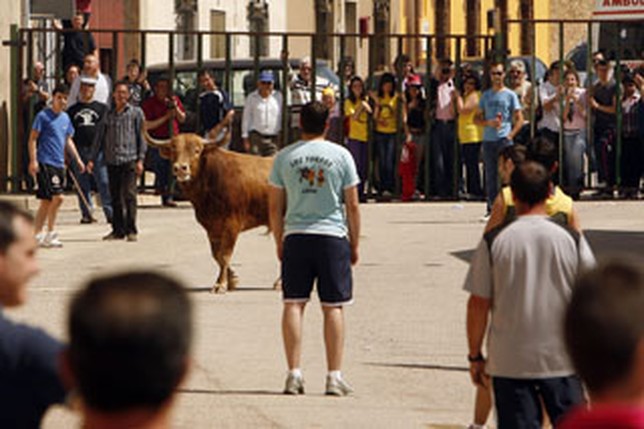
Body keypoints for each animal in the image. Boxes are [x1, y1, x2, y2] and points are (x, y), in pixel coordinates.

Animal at [143, 131, 274, 290]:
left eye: (197, 150)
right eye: (174, 150)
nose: (180, 168)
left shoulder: (232, 224)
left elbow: (225, 255)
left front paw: (221, 284)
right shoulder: (211, 227)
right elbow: (217, 255)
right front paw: (231, 279)